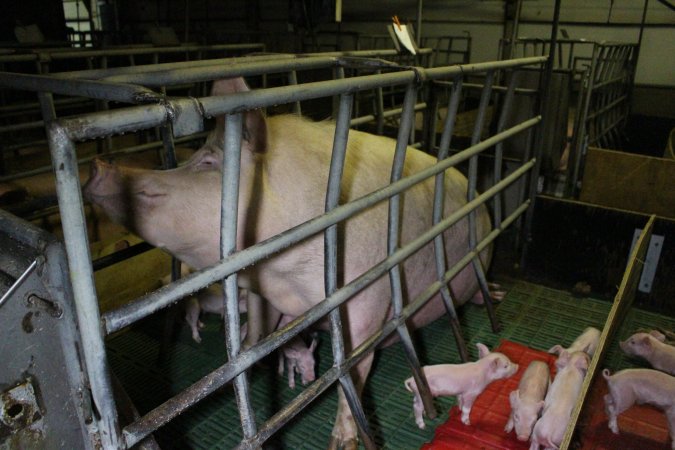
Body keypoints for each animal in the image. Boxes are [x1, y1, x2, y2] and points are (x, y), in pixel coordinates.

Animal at [86, 76, 496, 446]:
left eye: (207, 161)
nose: (99, 166)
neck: (286, 280)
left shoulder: (368, 293)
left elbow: (352, 365)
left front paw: (342, 442)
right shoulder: (263, 294)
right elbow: (255, 338)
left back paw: (494, 297)